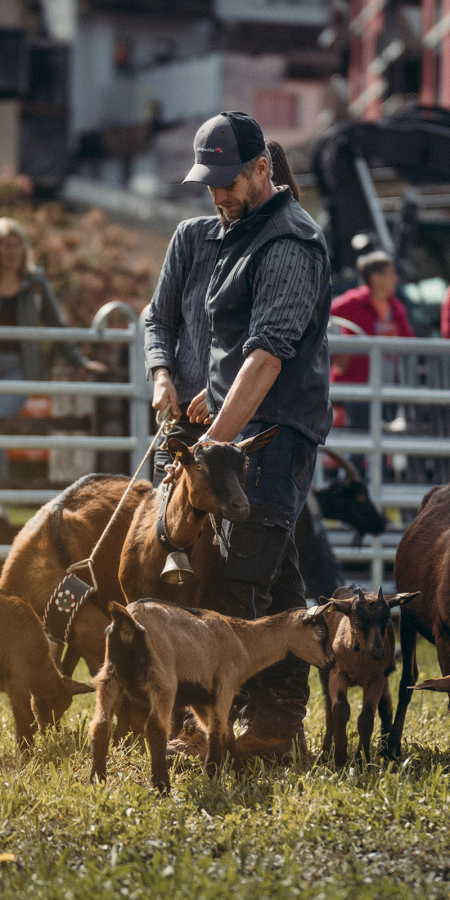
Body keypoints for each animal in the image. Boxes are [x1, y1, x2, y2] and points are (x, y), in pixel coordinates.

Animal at [89, 596, 338, 796]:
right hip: (163, 680)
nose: (332, 661)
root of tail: (128, 621)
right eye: (320, 633)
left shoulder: (202, 699)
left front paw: (240, 776)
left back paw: (97, 780)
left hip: (109, 676)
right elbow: (217, 732)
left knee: (101, 724)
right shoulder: (224, 685)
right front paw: (213, 777)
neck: (245, 642)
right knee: (154, 727)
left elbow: (225, 732)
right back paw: (163, 788)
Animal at [320, 584, 418, 768]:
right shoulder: (338, 674)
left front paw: (361, 761)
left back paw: (386, 750)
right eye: (357, 622)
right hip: (324, 675)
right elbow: (340, 709)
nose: (378, 652)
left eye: (387, 620)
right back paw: (325, 754)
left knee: (386, 706)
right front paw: (339, 758)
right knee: (329, 710)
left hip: (384, 677)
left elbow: (366, 717)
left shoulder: (376, 679)